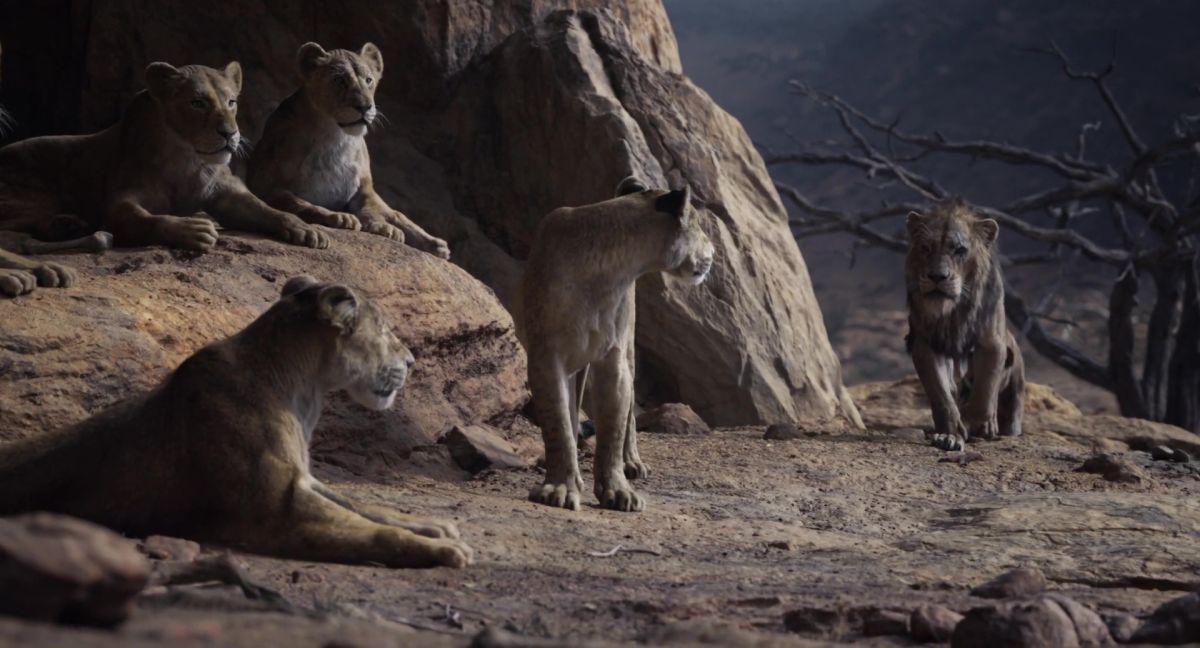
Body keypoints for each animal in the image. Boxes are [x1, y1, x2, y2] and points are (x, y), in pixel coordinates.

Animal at [0, 60, 328, 253]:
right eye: (198, 103)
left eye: (231, 102)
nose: (230, 133)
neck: (188, 160)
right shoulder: (119, 203)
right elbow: (143, 219)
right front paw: (193, 229)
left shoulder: (228, 195)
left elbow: (269, 210)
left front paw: (306, 229)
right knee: (14, 229)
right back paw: (66, 226)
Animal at [0, 275, 472, 569]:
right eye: (385, 330)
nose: (411, 361)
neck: (304, 389)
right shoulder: (279, 510)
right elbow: (371, 532)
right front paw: (443, 549)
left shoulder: (306, 481)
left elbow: (366, 507)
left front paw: (435, 526)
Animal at [247, 42, 450, 259]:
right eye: (339, 80)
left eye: (368, 80)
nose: (365, 107)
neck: (336, 138)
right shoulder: (266, 186)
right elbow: (300, 204)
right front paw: (340, 217)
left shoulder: (364, 187)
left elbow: (383, 211)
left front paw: (384, 227)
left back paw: (435, 244)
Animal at [518, 178, 714, 511]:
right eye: (699, 225)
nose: (713, 250)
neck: (608, 270)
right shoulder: (547, 357)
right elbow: (558, 424)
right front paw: (560, 487)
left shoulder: (614, 357)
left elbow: (613, 427)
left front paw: (618, 490)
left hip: (630, 352)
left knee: (630, 412)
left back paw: (632, 462)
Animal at [905, 200, 1025, 452]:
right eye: (925, 248)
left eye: (959, 250)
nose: (937, 276)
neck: (953, 312)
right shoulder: (926, 345)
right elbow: (942, 396)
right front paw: (949, 435)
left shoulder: (991, 342)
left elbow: (984, 390)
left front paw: (979, 425)